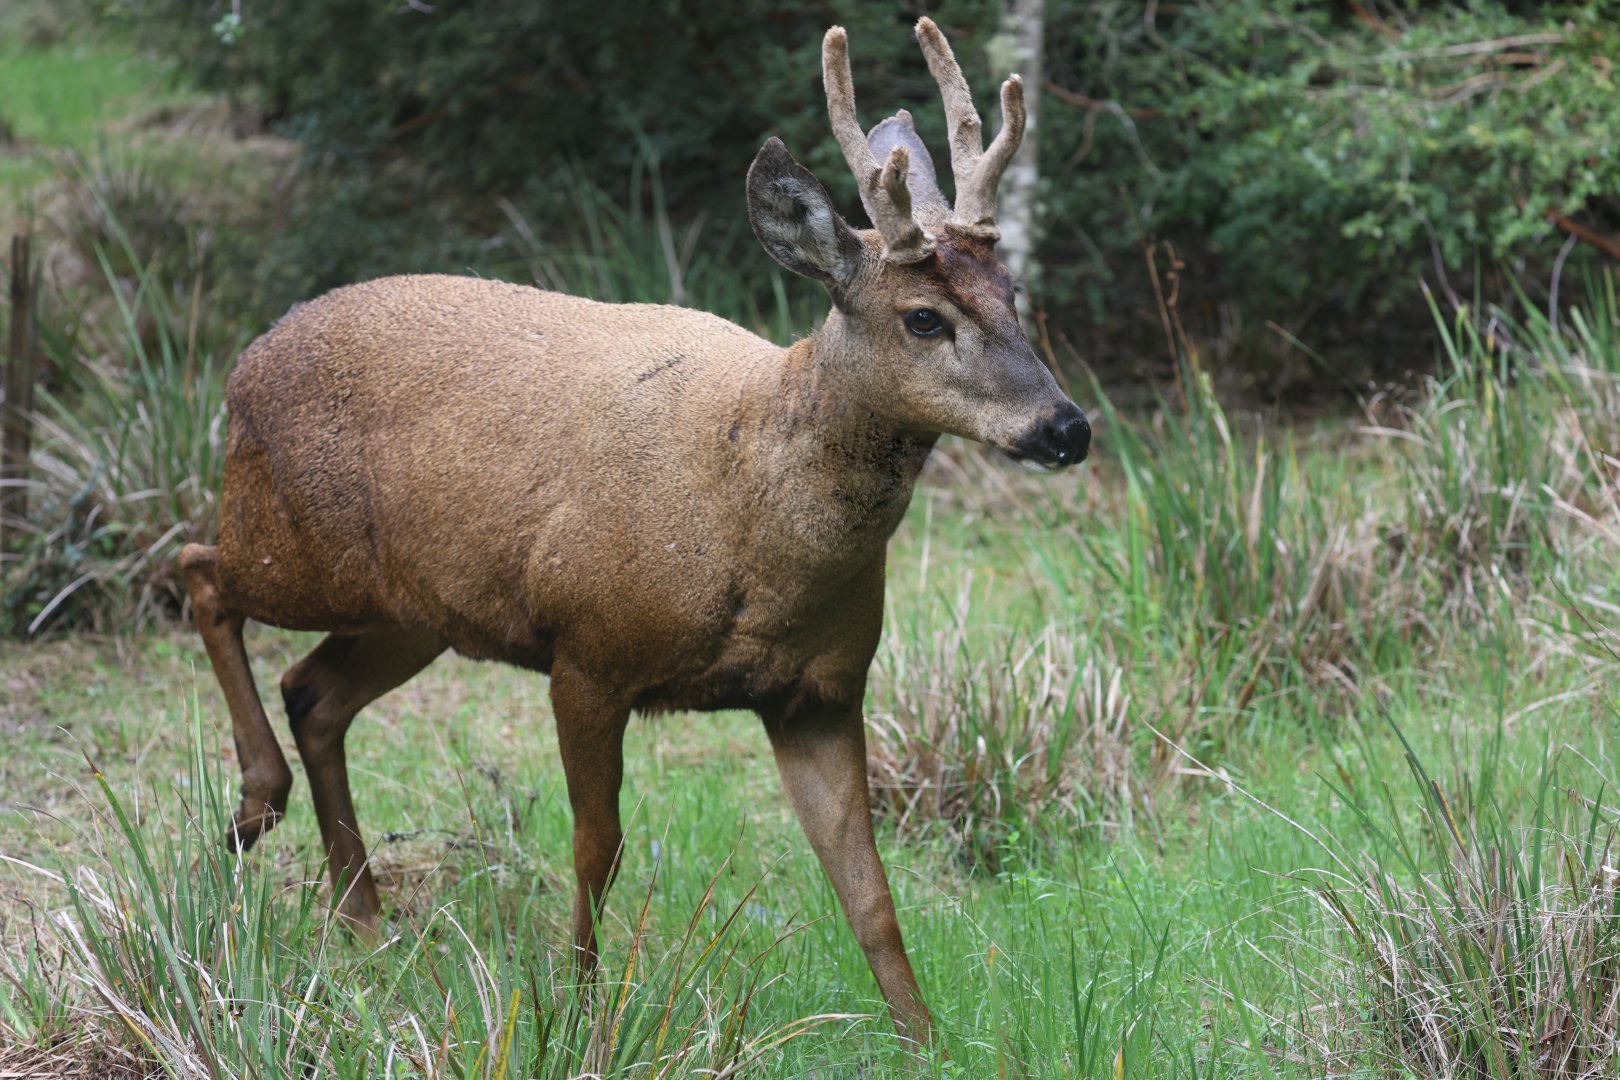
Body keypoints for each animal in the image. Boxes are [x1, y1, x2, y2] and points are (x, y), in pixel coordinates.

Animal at [179, 18, 1089, 1046]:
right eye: (924, 318)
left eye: (1014, 292)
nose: (1067, 427)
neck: (751, 521)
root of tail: (244, 364)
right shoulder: (589, 650)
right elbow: (596, 849)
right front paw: (576, 1012)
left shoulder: (820, 691)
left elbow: (868, 890)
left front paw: (924, 1039)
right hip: (293, 538)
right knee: (200, 570)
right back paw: (256, 809)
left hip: (416, 609)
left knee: (314, 693)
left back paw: (364, 923)